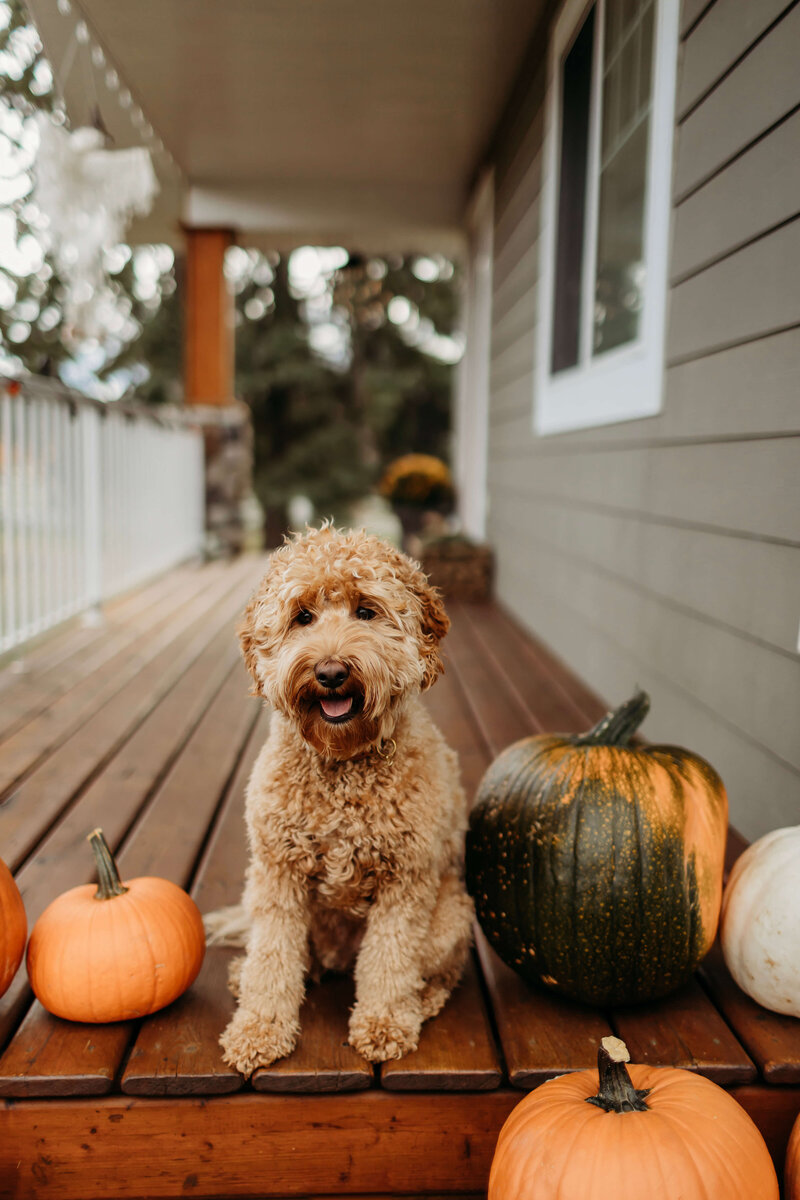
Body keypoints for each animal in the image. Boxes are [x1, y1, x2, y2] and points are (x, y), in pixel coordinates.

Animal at [209, 520, 479, 1075]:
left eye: (366, 611)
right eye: (302, 617)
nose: (331, 672)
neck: (341, 765)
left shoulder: (406, 881)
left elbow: (390, 959)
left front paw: (384, 1024)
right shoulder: (278, 875)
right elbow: (273, 958)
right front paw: (258, 1029)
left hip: (450, 916)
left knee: (436, 973)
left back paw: (420, 1001)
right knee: (289, 957)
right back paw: (246, 973)